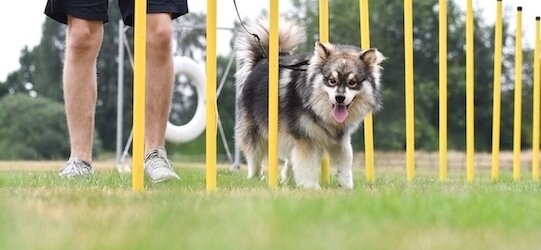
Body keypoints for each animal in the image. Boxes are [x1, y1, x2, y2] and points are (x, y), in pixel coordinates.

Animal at [233, 17, 384, 189]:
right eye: (332, 81)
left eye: (352, 82)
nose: (339, 97)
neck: (320, 111)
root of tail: (263, 59)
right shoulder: (306, 139)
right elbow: (307, 165)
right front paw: (311, 187)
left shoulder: (341, 140)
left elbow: (346, 161)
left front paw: (347, 187)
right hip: (255, 131)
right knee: (255, 158)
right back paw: (255, 178)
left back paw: (286, 178)